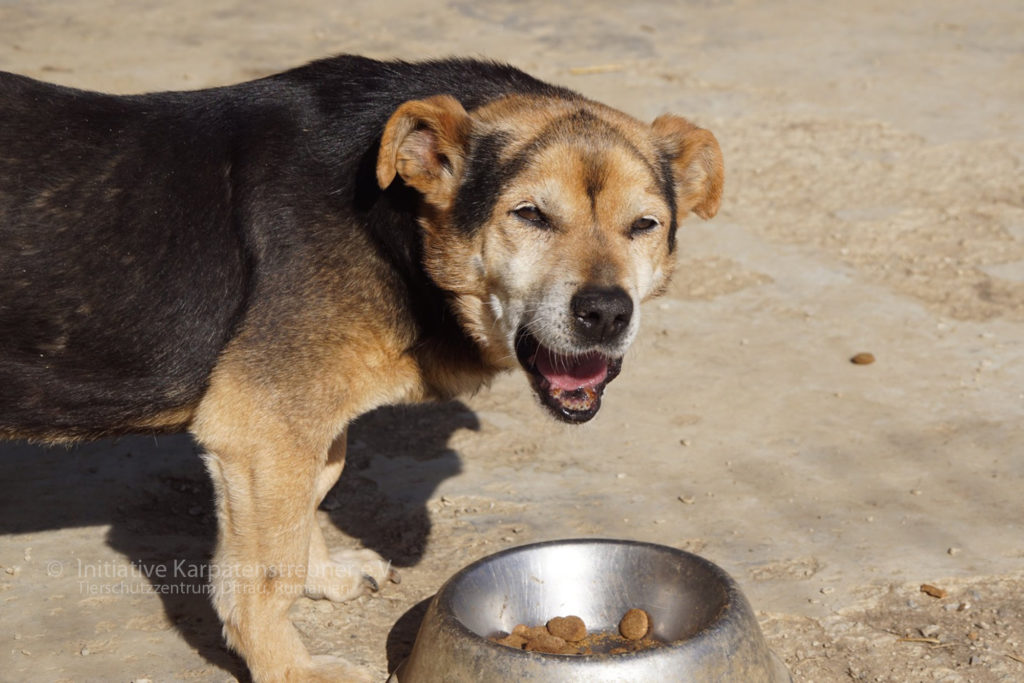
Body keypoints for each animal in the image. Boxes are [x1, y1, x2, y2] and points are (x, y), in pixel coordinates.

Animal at [0, 56, 720, 679]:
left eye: (645, 225)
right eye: (530, 215)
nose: (606, 313)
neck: (393, 223)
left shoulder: (291, 424)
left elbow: (315, 489)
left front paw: (325, 575)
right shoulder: (260, 422)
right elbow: (270, 570)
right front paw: (290, 669)